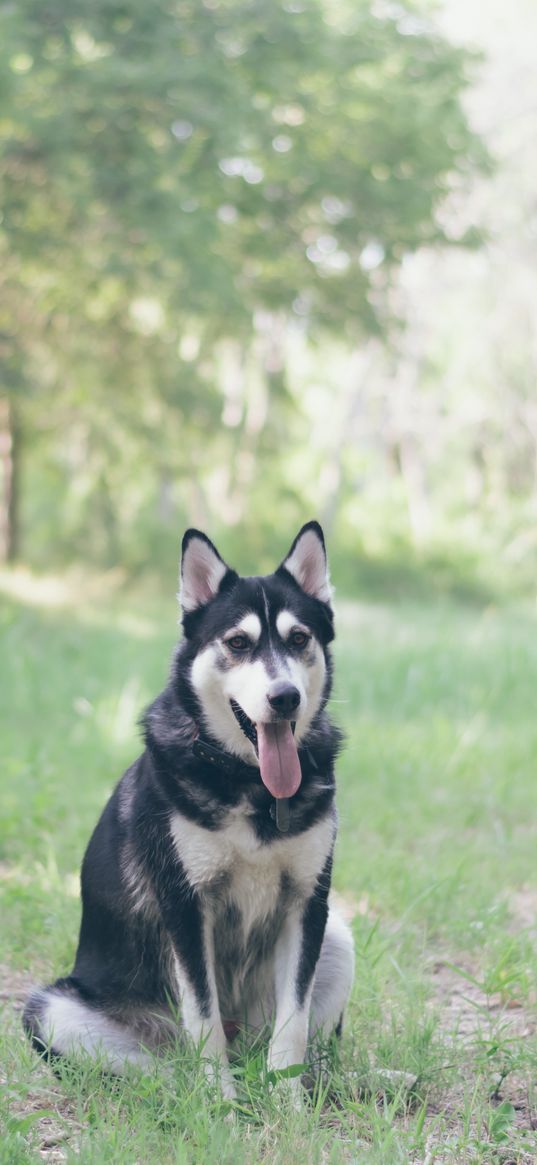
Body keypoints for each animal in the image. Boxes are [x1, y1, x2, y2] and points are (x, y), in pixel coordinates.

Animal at [23, 524, 354, 1095]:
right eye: (238, 643)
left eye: (298, 639)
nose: (285, 697)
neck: (251, 784)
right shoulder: (184, 904)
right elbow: (202, 1017)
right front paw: (219, 1102)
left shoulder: (307, 903)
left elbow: (293, 1023)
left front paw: (287, 1101)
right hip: (53, 1010)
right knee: (169, 1064)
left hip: (338, 939)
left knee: (298, 1043)